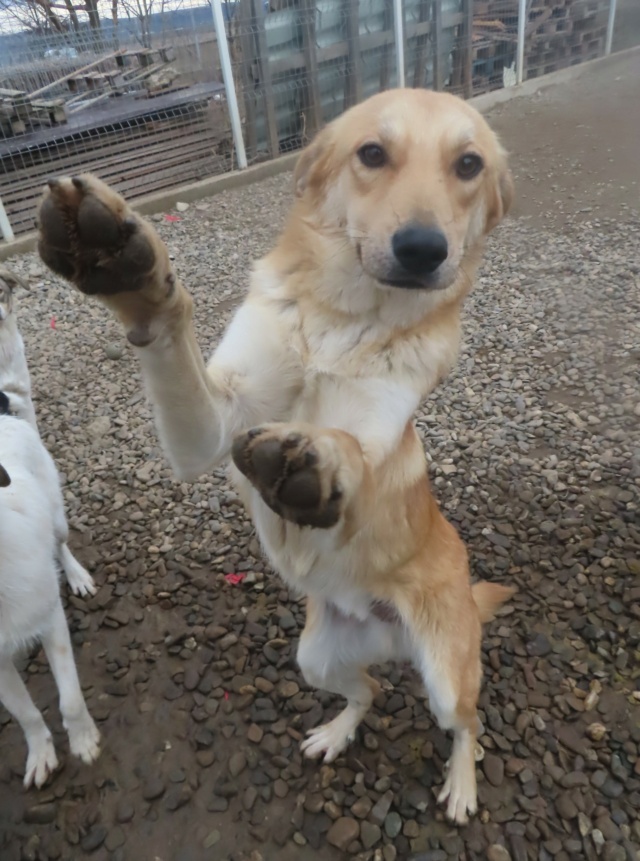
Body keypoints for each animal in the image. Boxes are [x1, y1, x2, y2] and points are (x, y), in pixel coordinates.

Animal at [35, 89, 516, 828]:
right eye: (372, 153)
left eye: (469, 164)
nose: (422, 248)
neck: (343, 324)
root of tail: (396, 635)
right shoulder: (212, 429)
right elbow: (169, 333)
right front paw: (126, 266)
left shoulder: (372, 446)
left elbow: (352, 451)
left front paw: (316, 462)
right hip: (314, 656)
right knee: (369, 689)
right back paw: (336, 732)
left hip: (444, 673)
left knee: (466, 723)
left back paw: (461, 784)